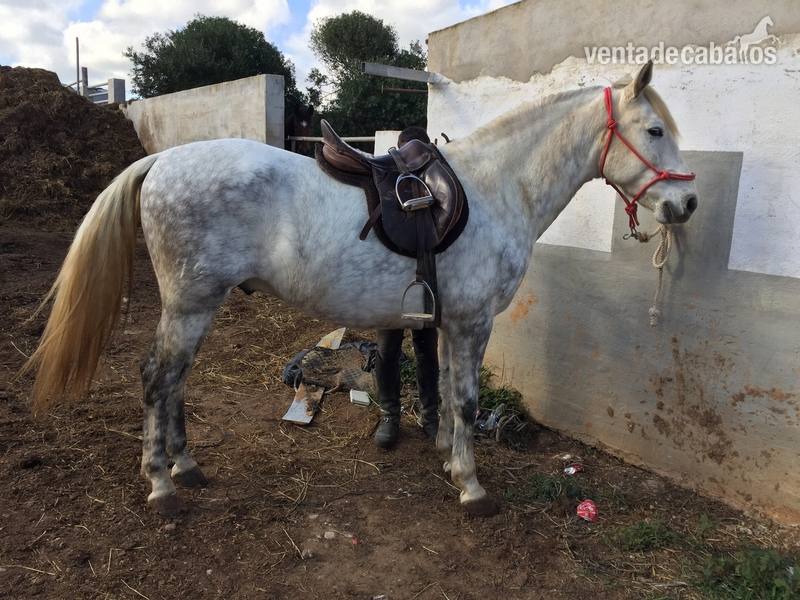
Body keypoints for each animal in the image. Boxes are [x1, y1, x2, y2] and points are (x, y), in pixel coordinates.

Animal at [23, 61, 697, 518]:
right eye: (654, 130)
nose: (687, 203)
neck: (497, 187)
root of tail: (162, 161)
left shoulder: (449, 324)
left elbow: (444, 394)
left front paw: (450, 460)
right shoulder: (473, 322)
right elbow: (467, 403)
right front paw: (473, 488)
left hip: (194, 307)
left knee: (174, 381)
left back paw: (185, 467)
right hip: (190, 306)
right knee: (157, 380)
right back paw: (161, 484)